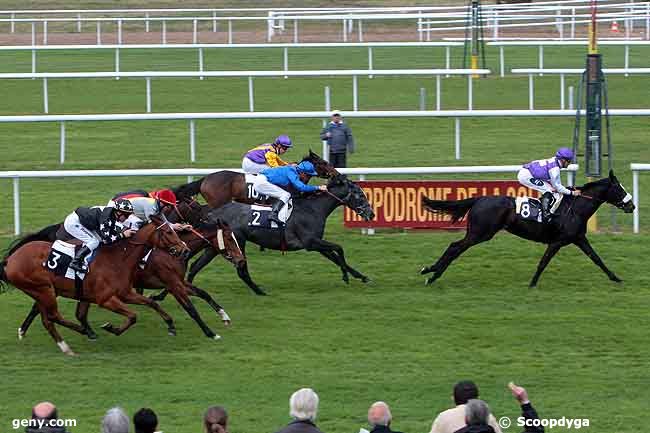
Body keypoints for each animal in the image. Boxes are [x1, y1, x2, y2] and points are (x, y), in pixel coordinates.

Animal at [0, 216, 189, 354]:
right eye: (167, 232)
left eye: (174, 230)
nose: (184, 250)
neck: (119, 258)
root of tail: (10, 260)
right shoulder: (105, 299)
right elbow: (133, 316)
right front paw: (112, 328)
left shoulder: (125, 293)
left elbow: (151, 303)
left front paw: (171, 325)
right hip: (43, 290)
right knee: (53, 316)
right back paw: (81, 333)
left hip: (42, 292)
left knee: (48, 320)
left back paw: (66, 346)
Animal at [181, 172, 374, 294]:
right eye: (359, 195)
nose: (371, 214)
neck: (313, 208)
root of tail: (212, 213)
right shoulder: (310, 242)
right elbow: (339, 248)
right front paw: (346, 276)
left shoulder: (316, 243)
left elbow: (335, 256)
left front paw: (361, 276)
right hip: (237, 241)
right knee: (241, 270)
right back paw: (259, 291)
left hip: (216, 245)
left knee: (195, 265)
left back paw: (189, 288)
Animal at [418, 170, 632, 286]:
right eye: (619, 189)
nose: (632, 206)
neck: (575, 208)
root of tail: (479, 199)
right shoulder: (558, 241)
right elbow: (543, 262)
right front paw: (532, 284)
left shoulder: (578, 239)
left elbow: (596, 258)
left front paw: (615, 278)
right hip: (480, 233)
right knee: (455, 247)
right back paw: (432, 273)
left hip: (479, 233)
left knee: (454, 247)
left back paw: (432, 272)